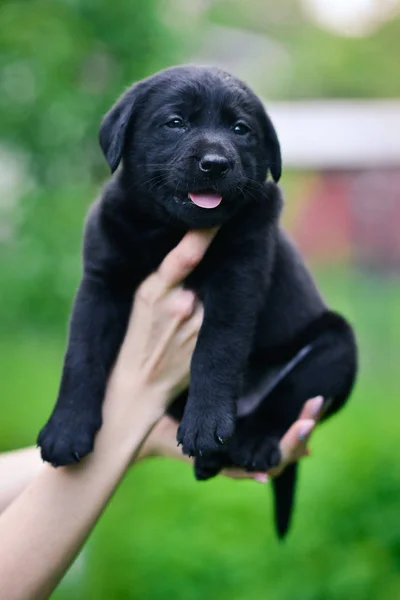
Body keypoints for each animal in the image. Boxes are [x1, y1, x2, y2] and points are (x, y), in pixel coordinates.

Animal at [36, 67, 356, 540]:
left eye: (241, 129)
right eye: (175, 123)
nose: (216, 163)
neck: (167, 230)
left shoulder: (239, 276)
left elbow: (216, 349)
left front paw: (205, 423)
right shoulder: (101, 282)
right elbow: (82, 355)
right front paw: (67, 428)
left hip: (336, 348)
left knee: (283, 402)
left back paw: (250, 442)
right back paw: (211, 460)